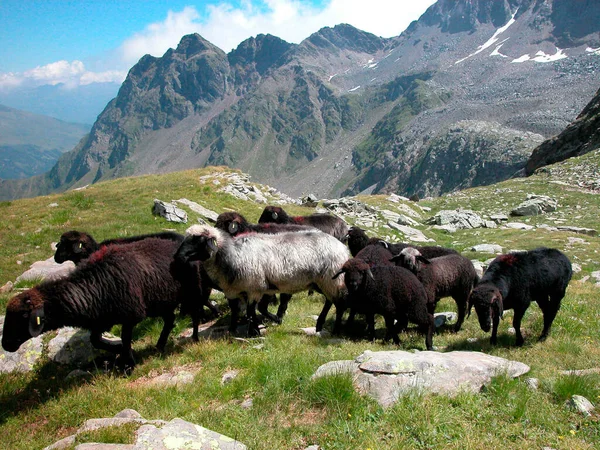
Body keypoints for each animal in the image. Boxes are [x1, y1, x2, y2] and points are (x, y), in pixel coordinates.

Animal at [2, 237, 205, 370]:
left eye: (23, 316)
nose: (5, 345)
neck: (92, 286)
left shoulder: (130, 314)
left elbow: (125, 338)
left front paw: (127, 363)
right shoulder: (101, 319)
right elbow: (95, 340)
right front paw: (117, 350)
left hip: (191, 292)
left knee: (195, 314)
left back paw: (194, 338)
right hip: (160, 302)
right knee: (170, 320)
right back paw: (160, 345)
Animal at [173, 224, 350, 334]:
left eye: (199, 240)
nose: (178, 257)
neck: (231, 256)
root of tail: (343, 247)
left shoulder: (255, 288)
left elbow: (252, 312)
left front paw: (255, 331)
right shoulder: (234, 291)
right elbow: (237, 311)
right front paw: (232, 329)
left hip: (330, 279)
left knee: (339, 303)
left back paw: (335, 330)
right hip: (321, 282)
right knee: (330, 301)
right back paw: (319, 324)